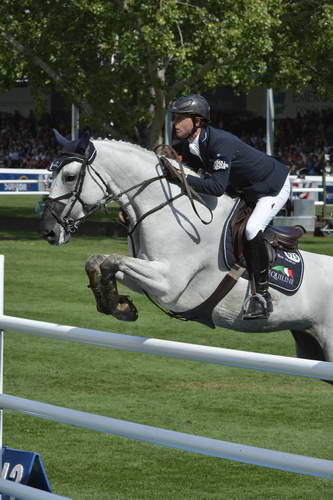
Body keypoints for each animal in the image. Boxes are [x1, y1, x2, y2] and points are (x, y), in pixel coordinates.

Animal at [40, 131, 333, 370]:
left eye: (69, 177)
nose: (48, 231)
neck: (169, 211)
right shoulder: (145, 272)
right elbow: (98, 261)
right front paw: (118, 305)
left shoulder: (168, 282)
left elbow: (111, 260)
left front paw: (117, 304)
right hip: (309, 344)